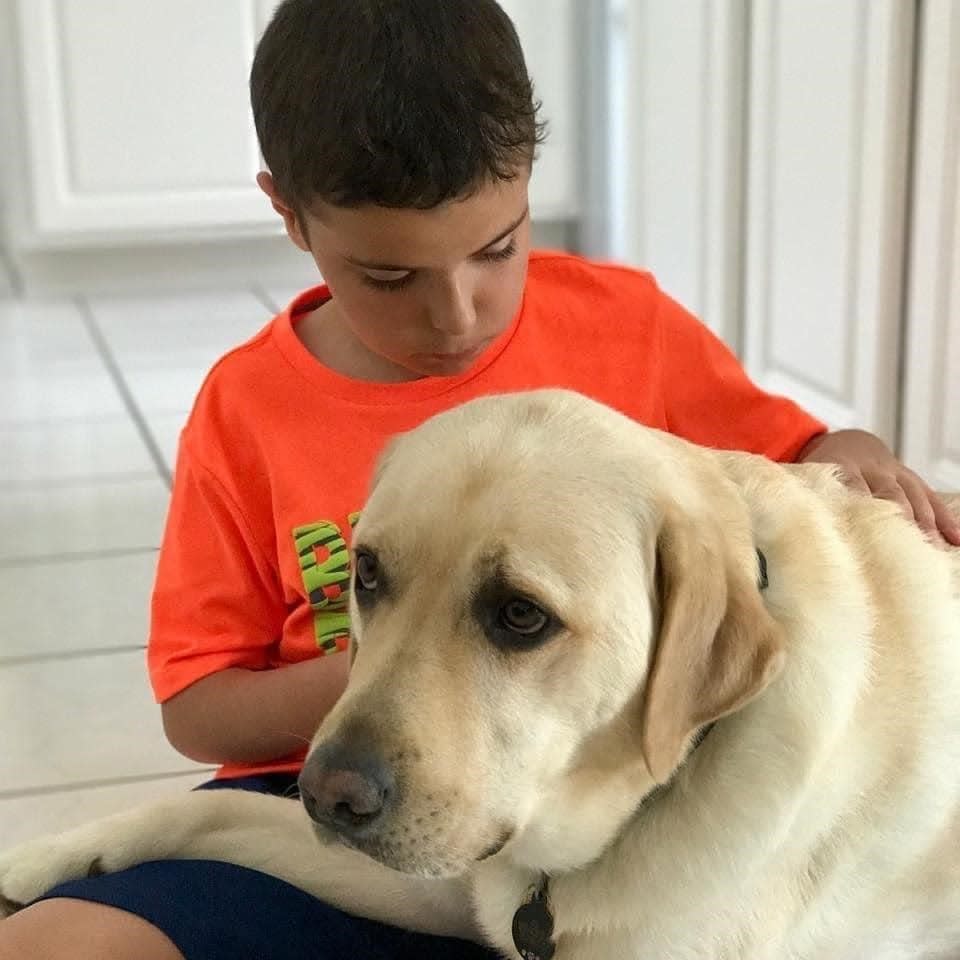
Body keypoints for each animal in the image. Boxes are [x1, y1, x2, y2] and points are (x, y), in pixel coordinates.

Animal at [1, 386, 960, 956]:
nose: (327, 796)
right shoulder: (444, 882)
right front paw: (42, 857)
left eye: (521, 616)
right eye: (366, 573)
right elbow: (196, 812)